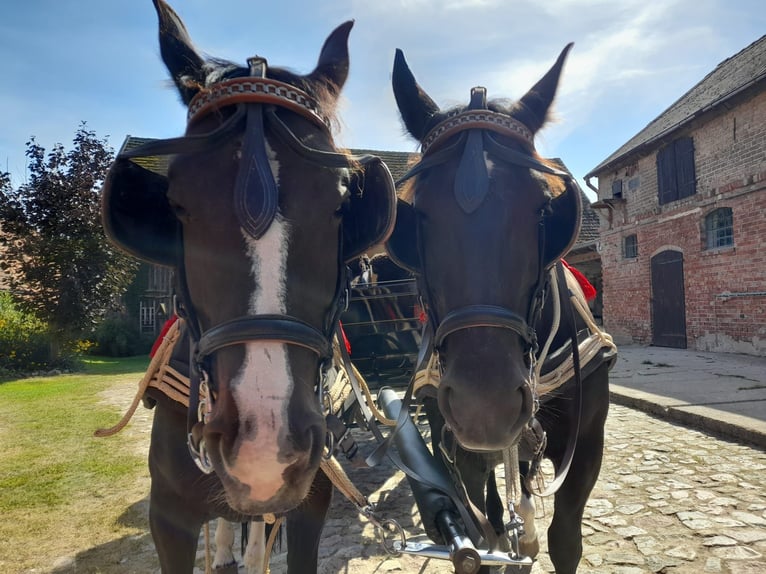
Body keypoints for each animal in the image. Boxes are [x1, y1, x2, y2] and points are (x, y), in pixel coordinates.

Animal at [390, 46, 616, 574]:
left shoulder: (587, 445)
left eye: (544, 209)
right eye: (416, 215)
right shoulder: (462, 451)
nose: (485, 408)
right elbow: (487, 536)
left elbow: (564, 540)